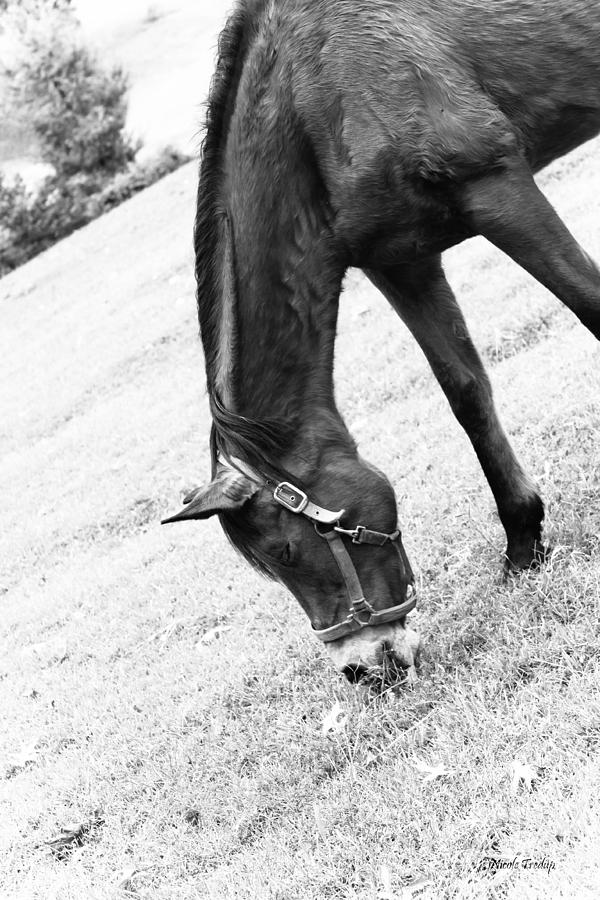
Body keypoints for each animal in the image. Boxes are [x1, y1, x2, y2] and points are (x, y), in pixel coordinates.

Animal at [163, 0, 600, 684]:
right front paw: (524, 544)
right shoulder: (400, 259)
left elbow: (592, 306)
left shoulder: (497, 189)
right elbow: (465, 393)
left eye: (287, 551)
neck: (313, 92)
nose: (364, 669)